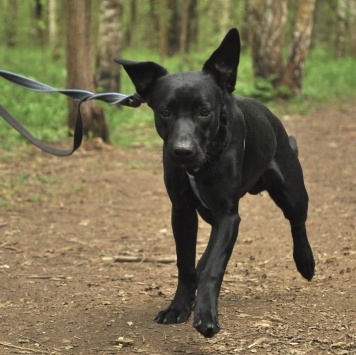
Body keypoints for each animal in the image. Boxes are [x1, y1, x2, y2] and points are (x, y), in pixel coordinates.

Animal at [116, 28, 314, 340]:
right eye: (165, 112)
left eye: (204, 112)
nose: (182, 151)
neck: (201, 164)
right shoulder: (182, 211)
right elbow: (186, 264)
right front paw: (179, 307)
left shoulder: (228, 214)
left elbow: (213, 268)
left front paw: (206, 316)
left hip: (291, 192)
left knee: (297, 222)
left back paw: (305, 261)